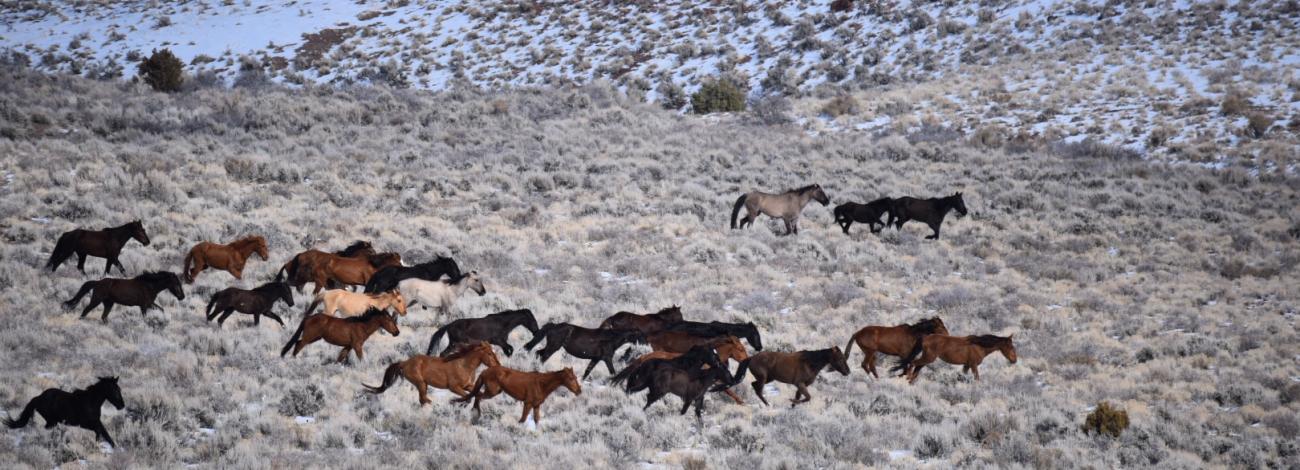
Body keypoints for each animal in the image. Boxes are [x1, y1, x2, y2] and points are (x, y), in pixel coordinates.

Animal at [363, 342, 501, 405]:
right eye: (489, 353)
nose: (498, 365)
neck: (464, 365)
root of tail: (405, 363)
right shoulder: (454, 387)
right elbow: (466, 397)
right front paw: (455, 402)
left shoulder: (468, 386)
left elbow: (476, 393)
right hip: (421, 383)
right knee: (424, 399)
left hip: (423, 384)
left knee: (423, 400)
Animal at [453, 366, 581, 425]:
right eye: (571, 378)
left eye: (575, 377)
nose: (579, 391)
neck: (541, 384)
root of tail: (485, 371)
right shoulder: (528, 403)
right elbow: (522, 419)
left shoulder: (536, 406)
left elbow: (536, 420)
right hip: (492, 392)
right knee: (478, 397)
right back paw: (477, 414)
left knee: (477, 396)